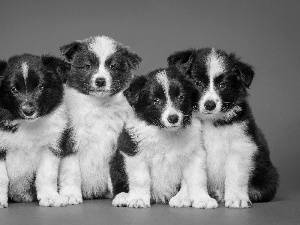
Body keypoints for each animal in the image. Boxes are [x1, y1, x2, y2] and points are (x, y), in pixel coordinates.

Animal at [0, 53, 70, 207]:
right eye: (14, 89)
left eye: (40, 87)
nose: (28, 111)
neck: (27, 125)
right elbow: (2, 178)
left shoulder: (50, 147)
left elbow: (46, 175)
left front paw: (50, 197)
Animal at [59, 35, 142, 204]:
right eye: (88, 66)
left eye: (112, 66)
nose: (100, 81)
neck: (98, 106)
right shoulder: (71, 140)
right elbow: (71, 171)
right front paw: (70, 194)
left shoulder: (118, 142)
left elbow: (120, 171)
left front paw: (123, 194)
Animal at [110, 66, 218, 209]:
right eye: (156, 100)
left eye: (181, 97)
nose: (173, 118)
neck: (166, 133)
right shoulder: (133, 151)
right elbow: (140, 178)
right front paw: (138, 198)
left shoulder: (194, 153)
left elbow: (197, 178)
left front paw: (201, 199)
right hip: (116, 161)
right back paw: (123, 196)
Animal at [169, 48, 278, 208]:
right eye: (197, 83)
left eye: (222, 85)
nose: (209, 105)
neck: (210, 121)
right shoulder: (191, 148)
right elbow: (192, 176)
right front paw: (183, 197)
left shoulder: (240, 146)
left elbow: (235, 175)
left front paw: (237, 198)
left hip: (268, 174)